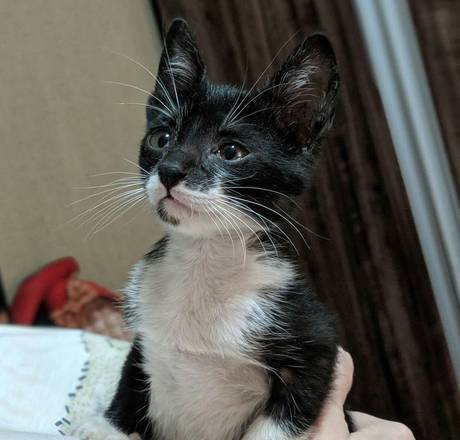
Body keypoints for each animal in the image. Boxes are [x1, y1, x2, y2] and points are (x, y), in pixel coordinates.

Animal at [74, 17, 345, 440]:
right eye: (161, 138)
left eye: (231, 151)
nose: (170, 169)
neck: (203, 260)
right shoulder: (144, 340)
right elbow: (131, 379)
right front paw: (106, 428)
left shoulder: (316, 342)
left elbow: (280, 420)